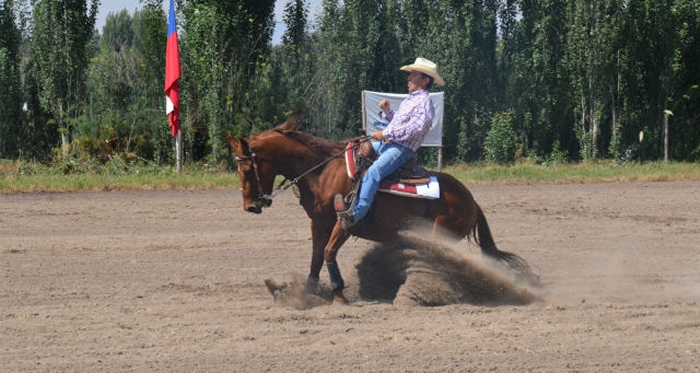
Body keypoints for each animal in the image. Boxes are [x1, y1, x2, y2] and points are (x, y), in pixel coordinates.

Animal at [228, 119, 536, 302]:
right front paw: (309, 294)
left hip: (440, 234)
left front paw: (339, 294)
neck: (324, 171)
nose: (250, 206)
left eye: (247, 167)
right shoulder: (319, 223)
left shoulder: (346, 221)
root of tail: (471, 200)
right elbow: (316, 258)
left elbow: (328, 252)